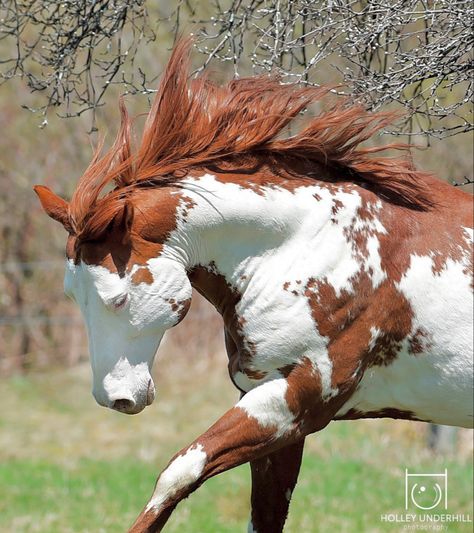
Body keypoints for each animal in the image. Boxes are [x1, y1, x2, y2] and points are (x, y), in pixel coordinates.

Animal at [35, 39, 472, 528]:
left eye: (117, 298)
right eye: (72, 295)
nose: (115, 397)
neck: (320, 248)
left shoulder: (298, 401)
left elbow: (180, 470)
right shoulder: (278, 419)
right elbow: (263, 514)